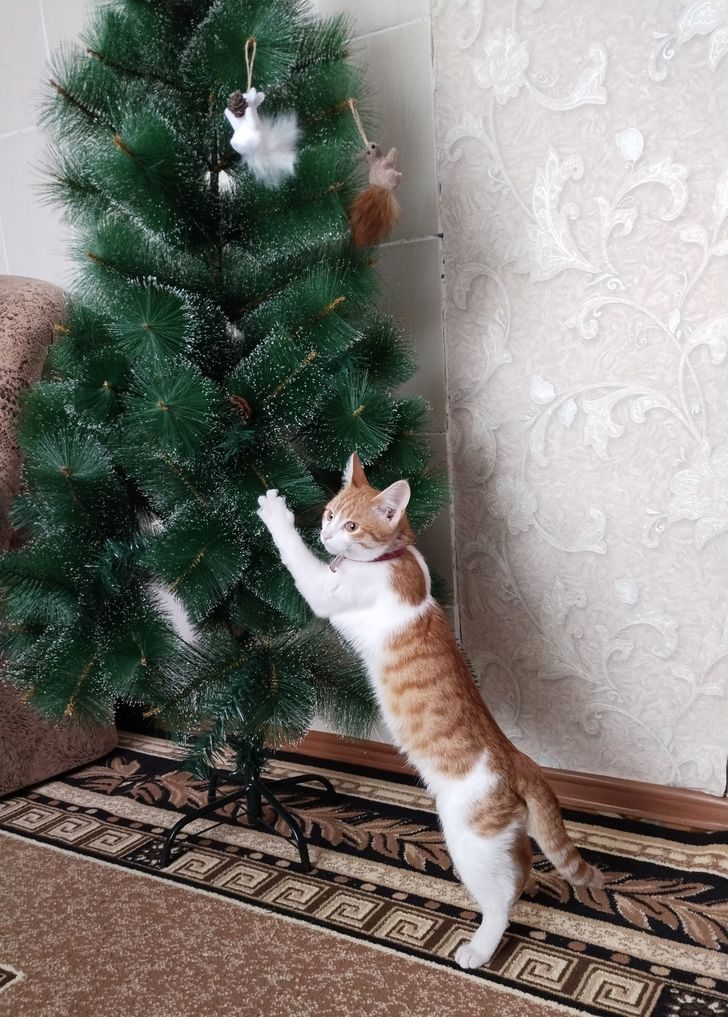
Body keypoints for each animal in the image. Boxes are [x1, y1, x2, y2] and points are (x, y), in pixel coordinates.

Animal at [257, 452, 603, 970]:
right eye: (331, 514)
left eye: (351, 525)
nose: (328, 534)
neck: (395, 558)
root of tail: (517, 758)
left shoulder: (326, 589)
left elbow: (298, 559)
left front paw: (275, 514)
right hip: (500, 839)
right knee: (521, 871)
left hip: (471, 840)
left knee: (504, 897)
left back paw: (480, 947)